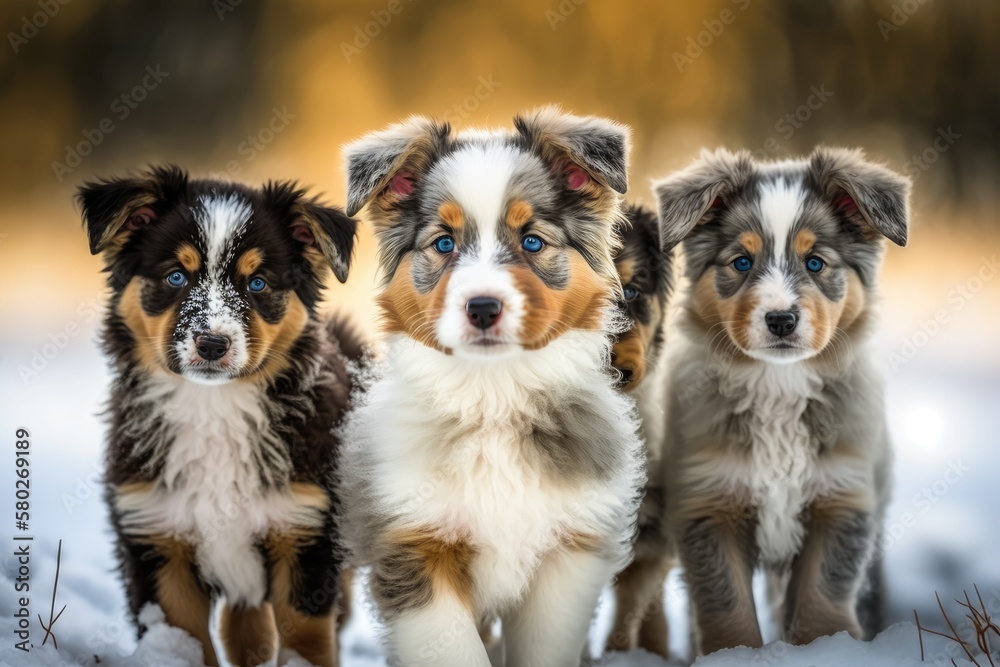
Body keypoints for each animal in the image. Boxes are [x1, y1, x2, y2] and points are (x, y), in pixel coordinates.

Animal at [78, 164, 360, 664]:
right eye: (175, 276)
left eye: (258, 283)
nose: (212, 344)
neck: (213, 407)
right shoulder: (157, 535)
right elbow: (184, 638)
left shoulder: (306, 531)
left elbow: (307, 637)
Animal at [340, 109, 644, 667]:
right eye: (443, 243)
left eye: (532, 241)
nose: (482, 307)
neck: (493, 397)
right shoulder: (414, 544)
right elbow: (458, 650)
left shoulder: (567, 553)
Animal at [652, 147, 912, 656]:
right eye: (741, 262)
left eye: (815, 263)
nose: (781, 320)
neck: (778, 385)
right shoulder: (707, 505)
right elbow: (726, 608)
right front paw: (733, 657)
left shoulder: (842, 499)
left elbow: (822, 599)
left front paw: (828, 649)